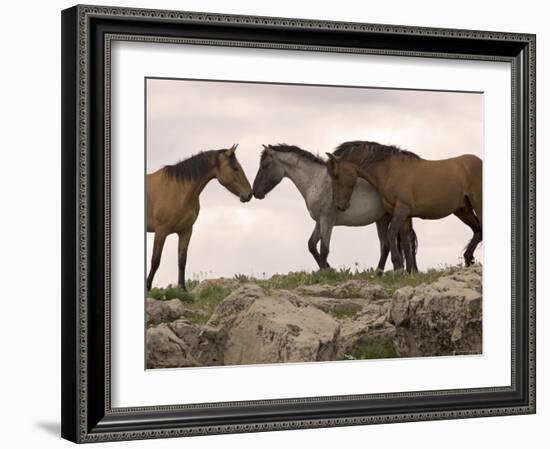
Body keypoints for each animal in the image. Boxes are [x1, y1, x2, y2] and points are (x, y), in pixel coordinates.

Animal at [144, 144, 252, 290]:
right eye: (235, 168)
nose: (249, 194)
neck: (177, 190)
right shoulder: (161, 231)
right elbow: (155, 261)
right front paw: (147, 287)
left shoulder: (186, 231)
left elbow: (182, 260)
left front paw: (182, 289)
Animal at [254, 144, 418, 272]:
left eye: (265, 165)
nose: (255, 192)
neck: (317, 181)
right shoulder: (319, 221)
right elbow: (311, 245)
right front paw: (328, 268)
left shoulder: (327, 220)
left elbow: (324, 249)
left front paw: (326, 272)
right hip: (383, 219)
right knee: (391, 245)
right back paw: (383, 272)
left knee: (402, 242)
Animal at [328, 142, 484, 272]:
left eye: (336, 175)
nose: (339, 205)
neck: (390, 170)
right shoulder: (405, 215)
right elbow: (405, 242)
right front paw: (410, 271)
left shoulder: (401, 210)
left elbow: (392, 234)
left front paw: (398, 266)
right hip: (463, 210)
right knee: (478, 230)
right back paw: (468, 259)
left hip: (478, 204)